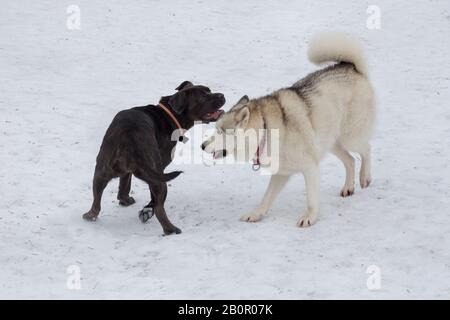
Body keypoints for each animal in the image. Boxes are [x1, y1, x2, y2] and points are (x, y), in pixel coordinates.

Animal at [82, 81, 225, 234]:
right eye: (203, 97)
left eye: (209, 90)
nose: (222, 95)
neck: (170, 114)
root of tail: (128, 139)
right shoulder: (160, 168)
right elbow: (152, 198)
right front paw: (145, 210)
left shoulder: (127, 173)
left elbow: (125, 183)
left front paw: (124, 200)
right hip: (158, 178)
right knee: (158, 207)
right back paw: (170, 229)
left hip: (101, 171)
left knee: (96, 203)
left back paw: (90, 215)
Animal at [202, 33, 374, 226]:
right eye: (216, 129)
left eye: (221, 131)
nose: (202, 145)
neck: (266, 130)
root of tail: (350, 66)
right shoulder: (281, 174)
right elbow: (266, 198)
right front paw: (256, 214)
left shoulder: (310, 168)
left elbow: (311, 200)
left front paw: (309, 218)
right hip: (330, 143)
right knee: (350, 160)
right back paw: (348, 187)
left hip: (350, 138)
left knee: (366, 149)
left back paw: (365, 178)